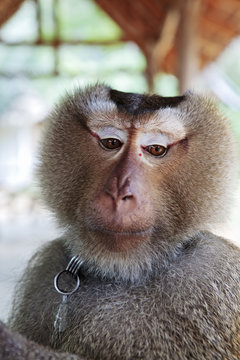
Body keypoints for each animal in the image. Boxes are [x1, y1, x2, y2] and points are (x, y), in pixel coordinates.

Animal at [6, 85, 240, 360]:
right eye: (111, 143)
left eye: (156, 149)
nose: (118, 193)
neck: (127, 271)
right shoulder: (44, 272)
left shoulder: (215, 278)